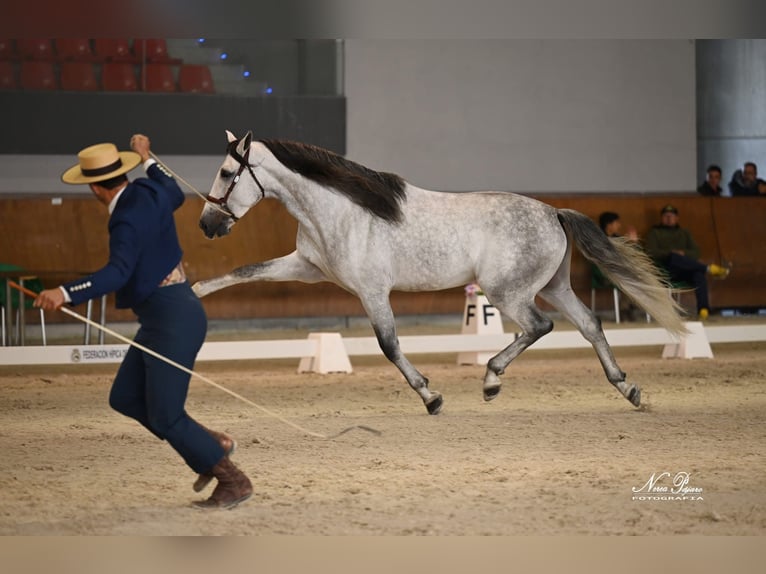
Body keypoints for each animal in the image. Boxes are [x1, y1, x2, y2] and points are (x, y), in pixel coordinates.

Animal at [195, 133, 688, 416]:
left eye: (227, 172)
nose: (207, 224)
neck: (343, 210)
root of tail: (554, 212)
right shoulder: (307, 267)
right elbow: (245, 270)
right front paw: (196, 290)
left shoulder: (372, 291)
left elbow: (390, 345)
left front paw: (430, 397)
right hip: (553, 286)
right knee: (590, 324)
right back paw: (628, 389)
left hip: (509, 292)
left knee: (539, 327)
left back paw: (491, 380)